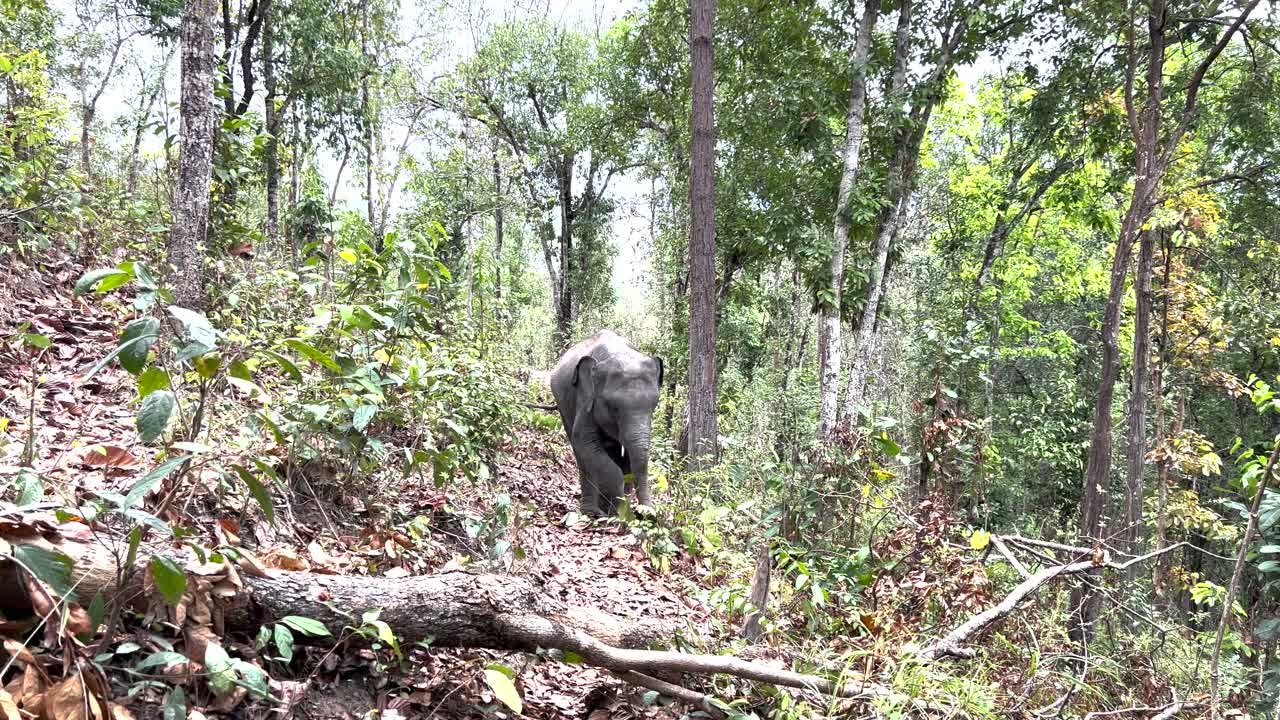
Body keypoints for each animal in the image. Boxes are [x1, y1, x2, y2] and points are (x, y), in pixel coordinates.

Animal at [549, 330, 663, 517]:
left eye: (654, 405)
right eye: (613, 407)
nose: (647, 514)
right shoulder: (585, 398)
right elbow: (584, 441)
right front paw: (618, 513)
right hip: (563, 407)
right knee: (581, 455)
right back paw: (592, 512)